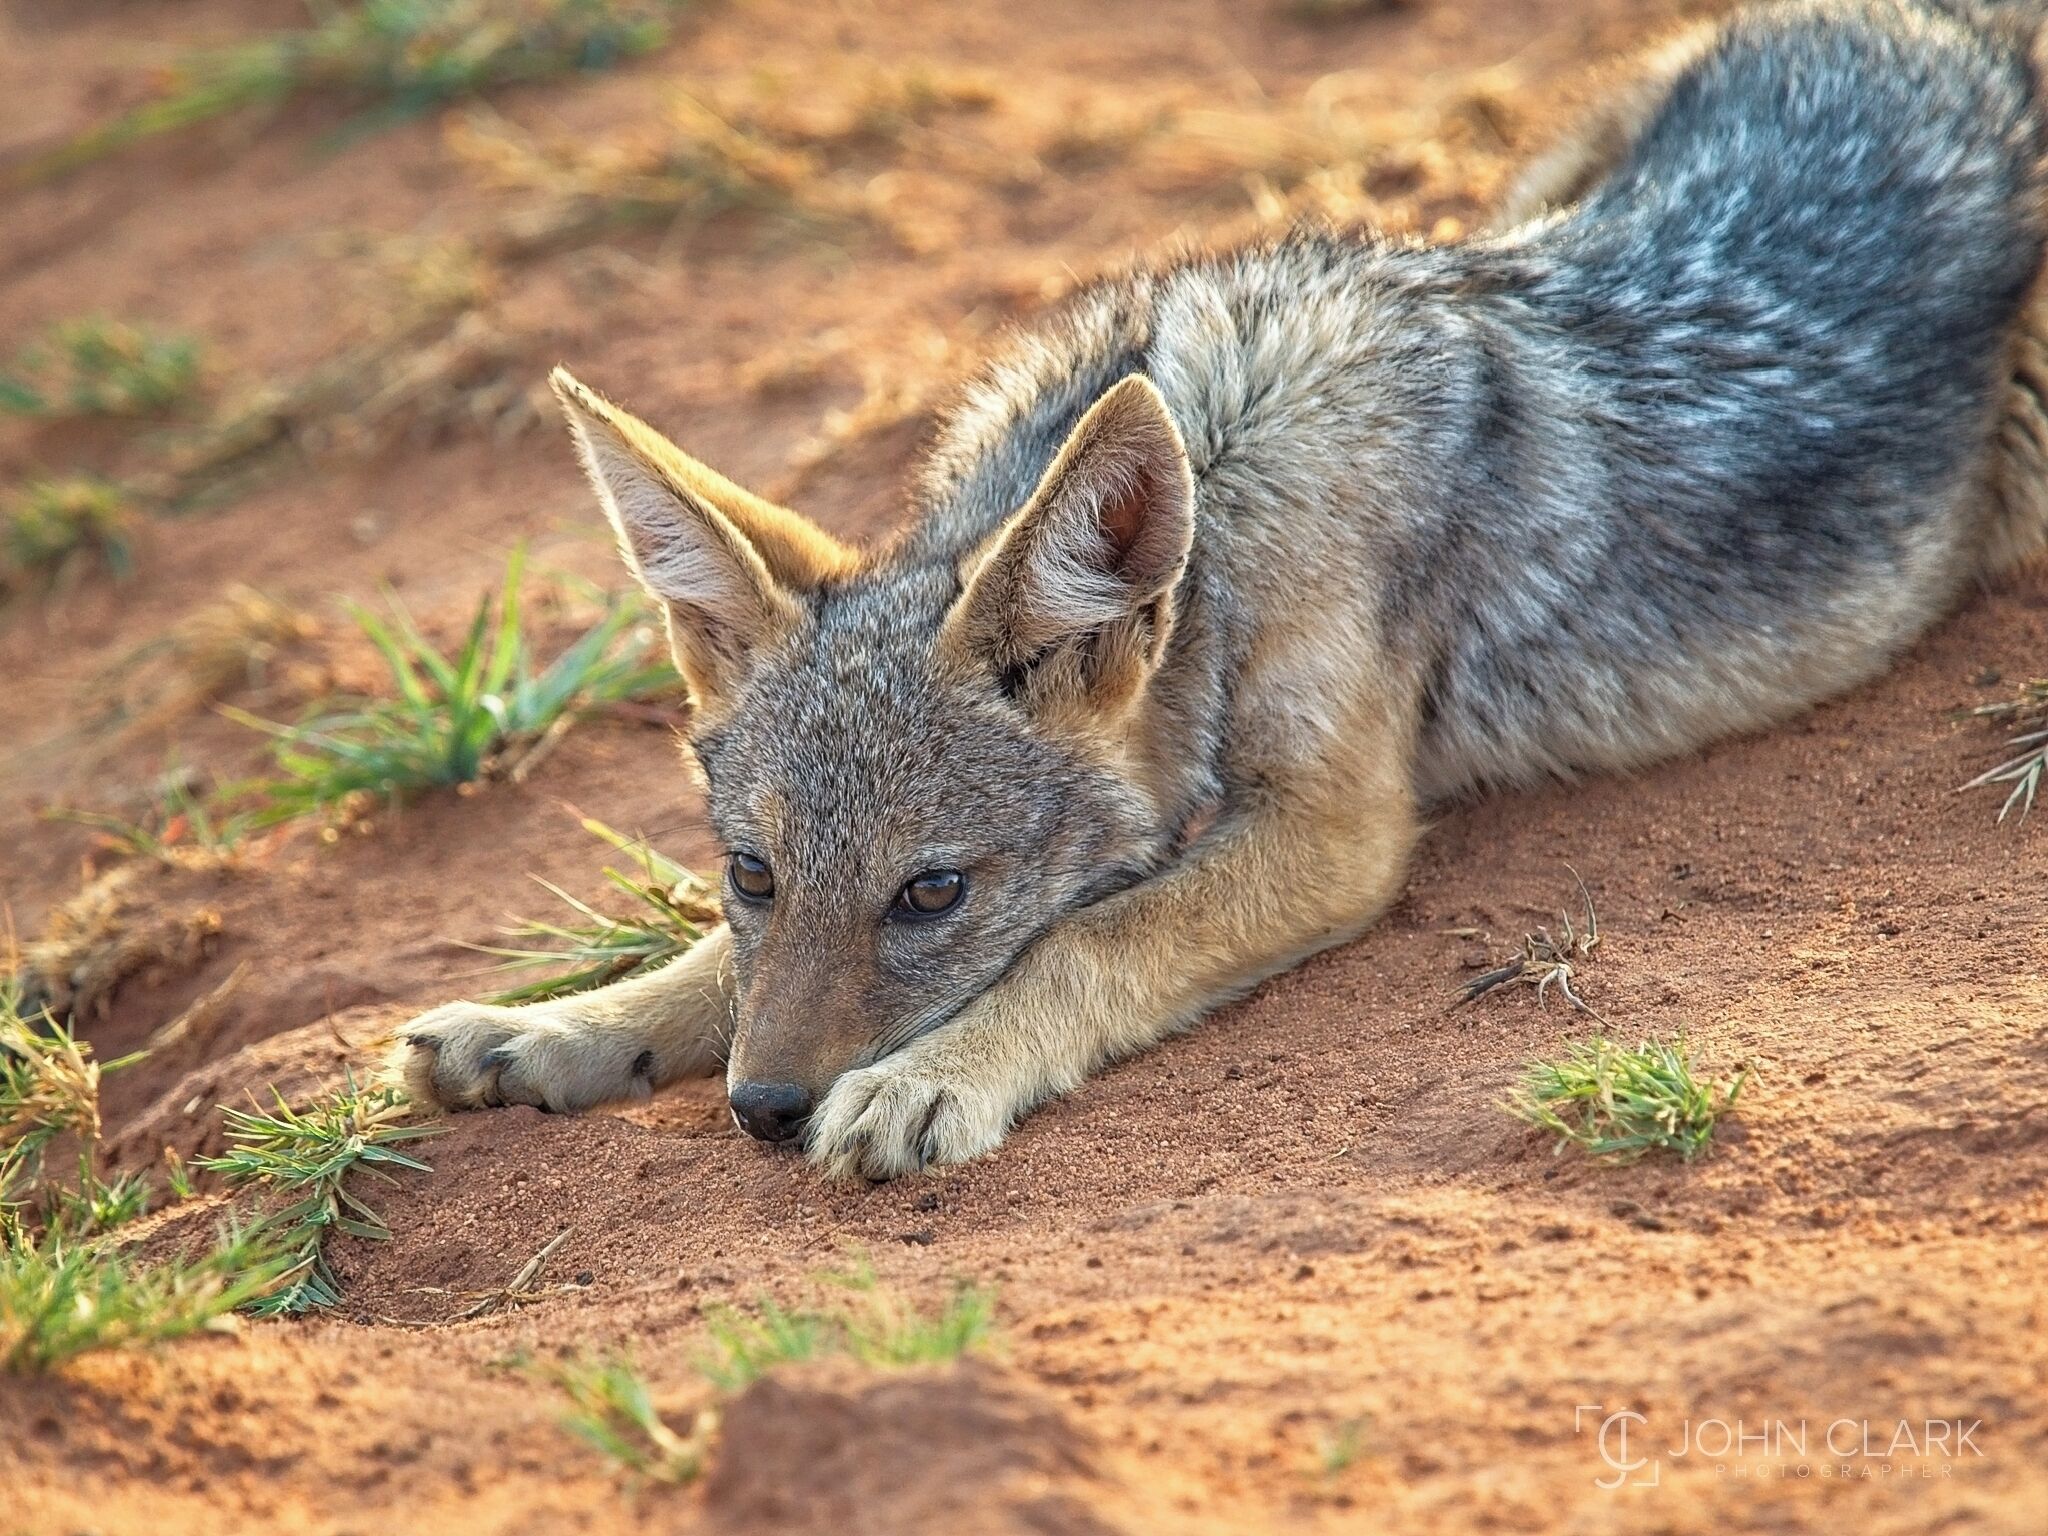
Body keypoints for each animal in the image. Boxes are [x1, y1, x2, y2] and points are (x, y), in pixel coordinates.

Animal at [395, 0, 2048, 1179]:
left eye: (932, 893)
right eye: (751, 874)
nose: (766, 1112)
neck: (1230, 522)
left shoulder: (1337, 836)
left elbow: (1094, 937)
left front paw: (932, 1074)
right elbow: (700, 972)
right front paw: (559, 1029)